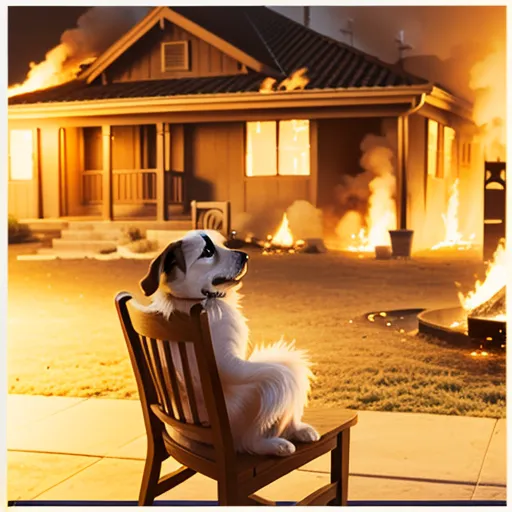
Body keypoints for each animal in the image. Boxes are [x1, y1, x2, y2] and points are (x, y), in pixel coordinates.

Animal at [138, 231, 318, 456]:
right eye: (207, 251)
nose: (245, 255)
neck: (196, 300)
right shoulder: (230, 363)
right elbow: (282, 373)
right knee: (253, 436)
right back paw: (276, 444)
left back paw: (300, 431)